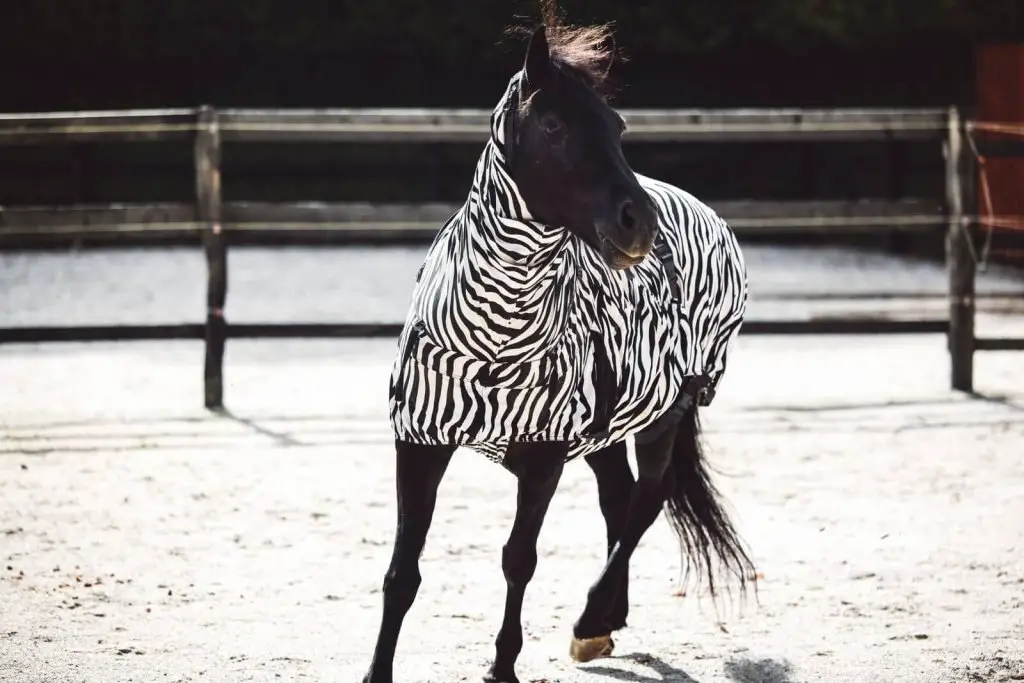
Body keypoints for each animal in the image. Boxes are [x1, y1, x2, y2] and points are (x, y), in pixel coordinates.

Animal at [360, 6, 753, 683]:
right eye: (552, 124)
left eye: (617, 127)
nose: (638, 224)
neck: (492, 339)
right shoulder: (419, 444)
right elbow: (401, 574)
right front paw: (377, 672)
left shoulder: (543, 457)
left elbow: (519, 559)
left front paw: (502, 667)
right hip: (608, 427)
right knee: (619, 499)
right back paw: (605, 622)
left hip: (665, 413)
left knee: (645, 502)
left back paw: (592, 620)